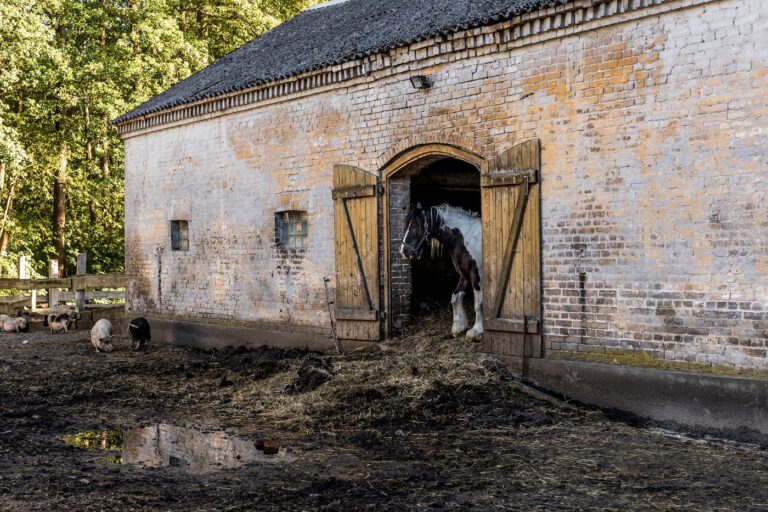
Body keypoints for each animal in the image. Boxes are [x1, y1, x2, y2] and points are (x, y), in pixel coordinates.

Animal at [400, 201, 484, 340]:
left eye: (415, 227)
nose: (403, 251)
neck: (466, 237)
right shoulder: (464, 274)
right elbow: (455, 298)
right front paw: (458, 327)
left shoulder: (476, 275)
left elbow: (478, 303)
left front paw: (476, 330)